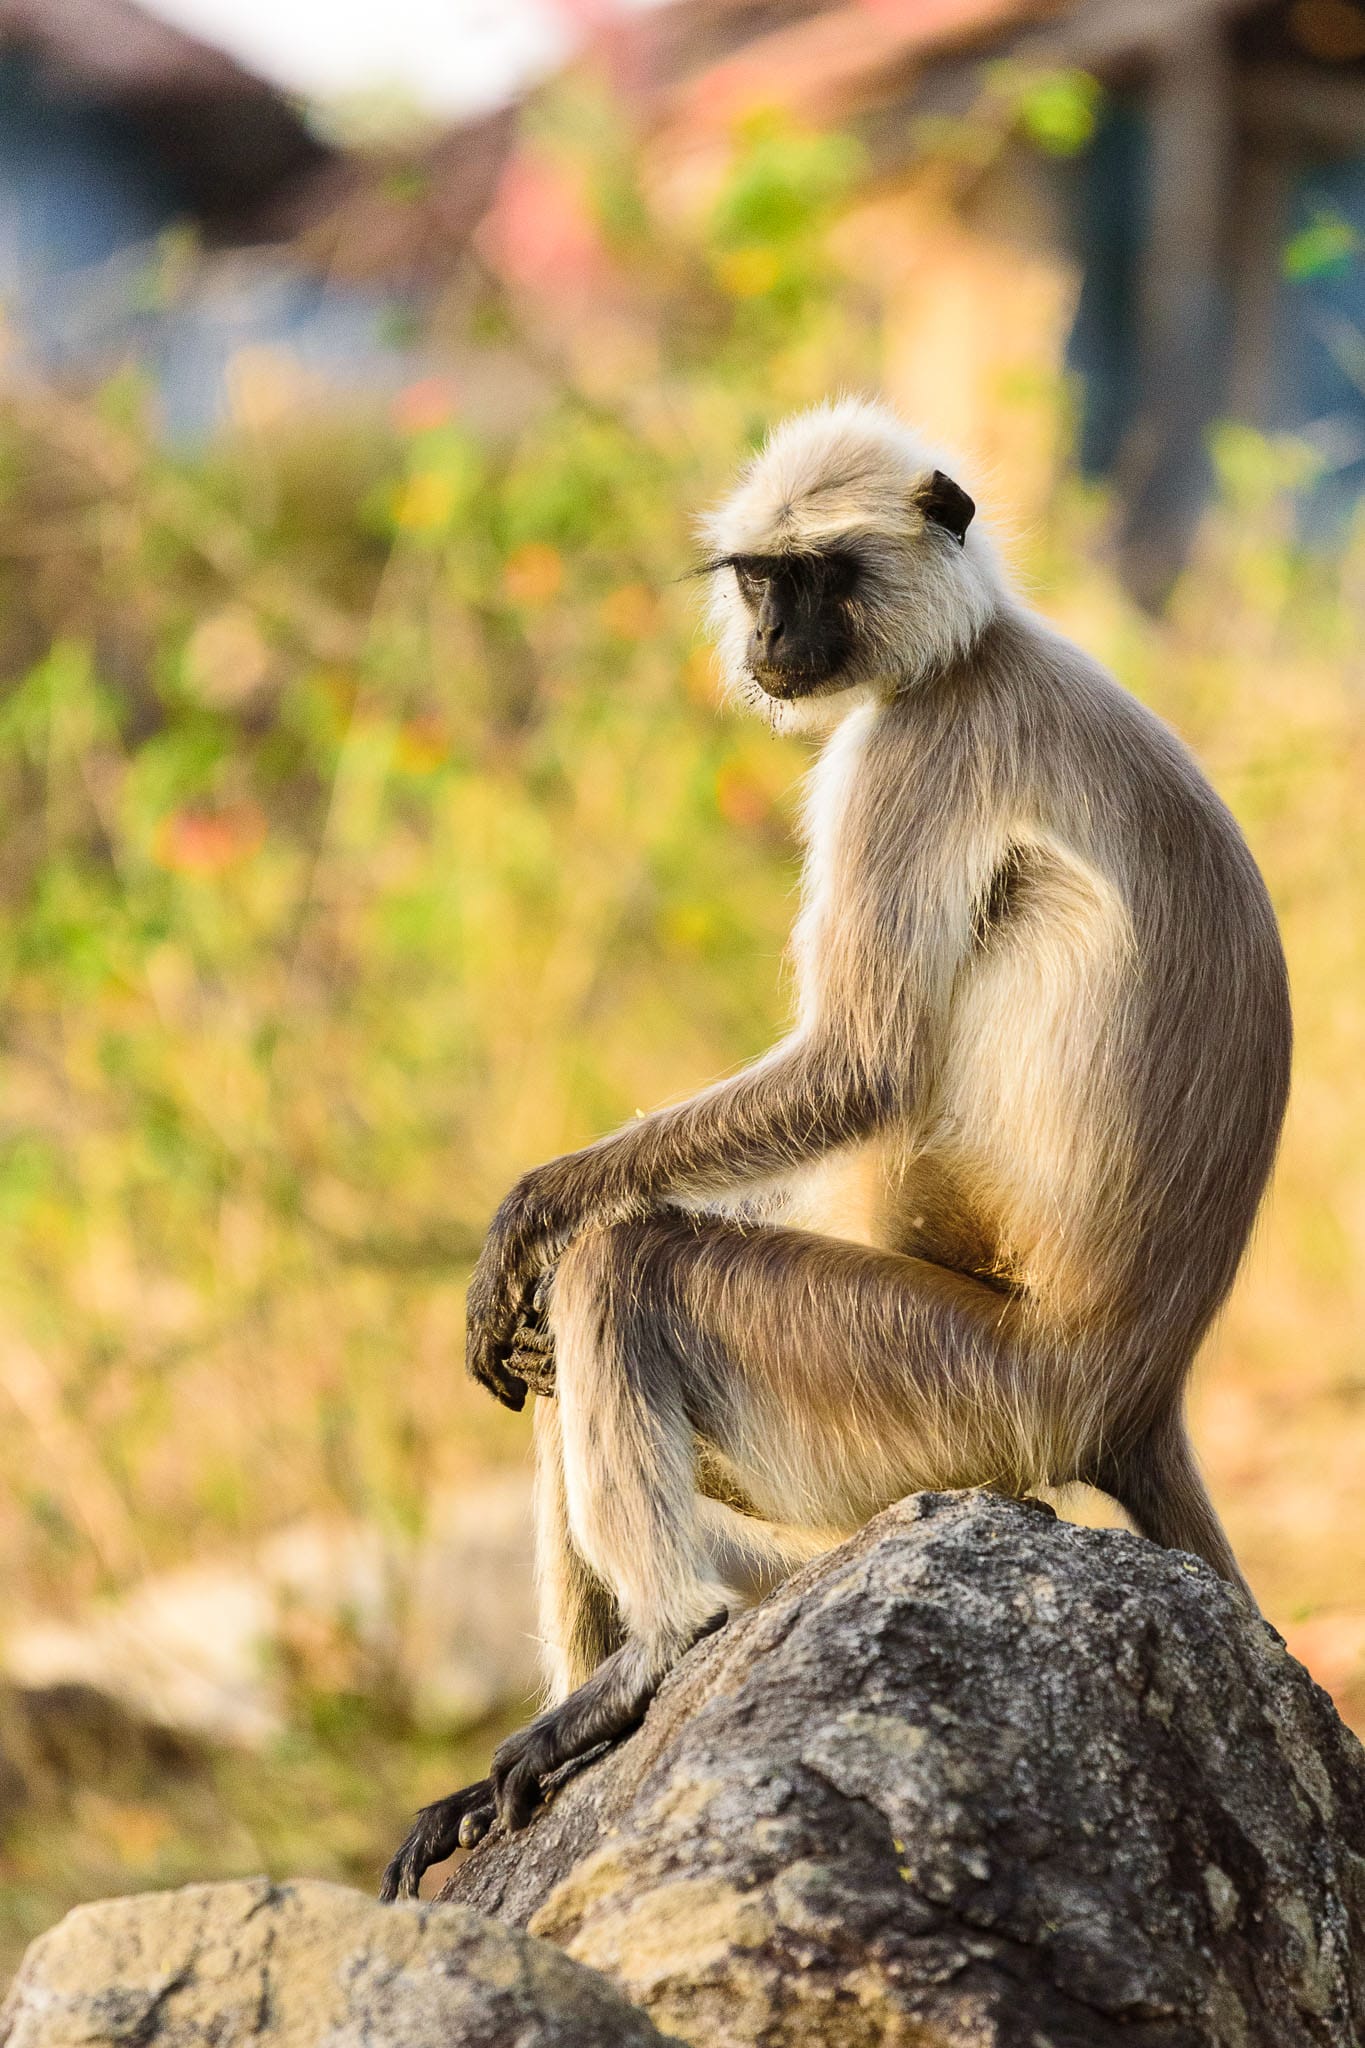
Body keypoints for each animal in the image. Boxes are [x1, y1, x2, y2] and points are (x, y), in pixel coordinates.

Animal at [380, 397, 1290, 1901]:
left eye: (815, 578)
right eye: (758, 579)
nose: (769, 639)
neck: (973, 650)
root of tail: (1144, 1384)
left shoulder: (911, 754)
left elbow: (857, 1066)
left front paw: (533, 1206)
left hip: (956, 1389)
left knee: (628, 1264)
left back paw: (655, 1653)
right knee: (576, 1335)